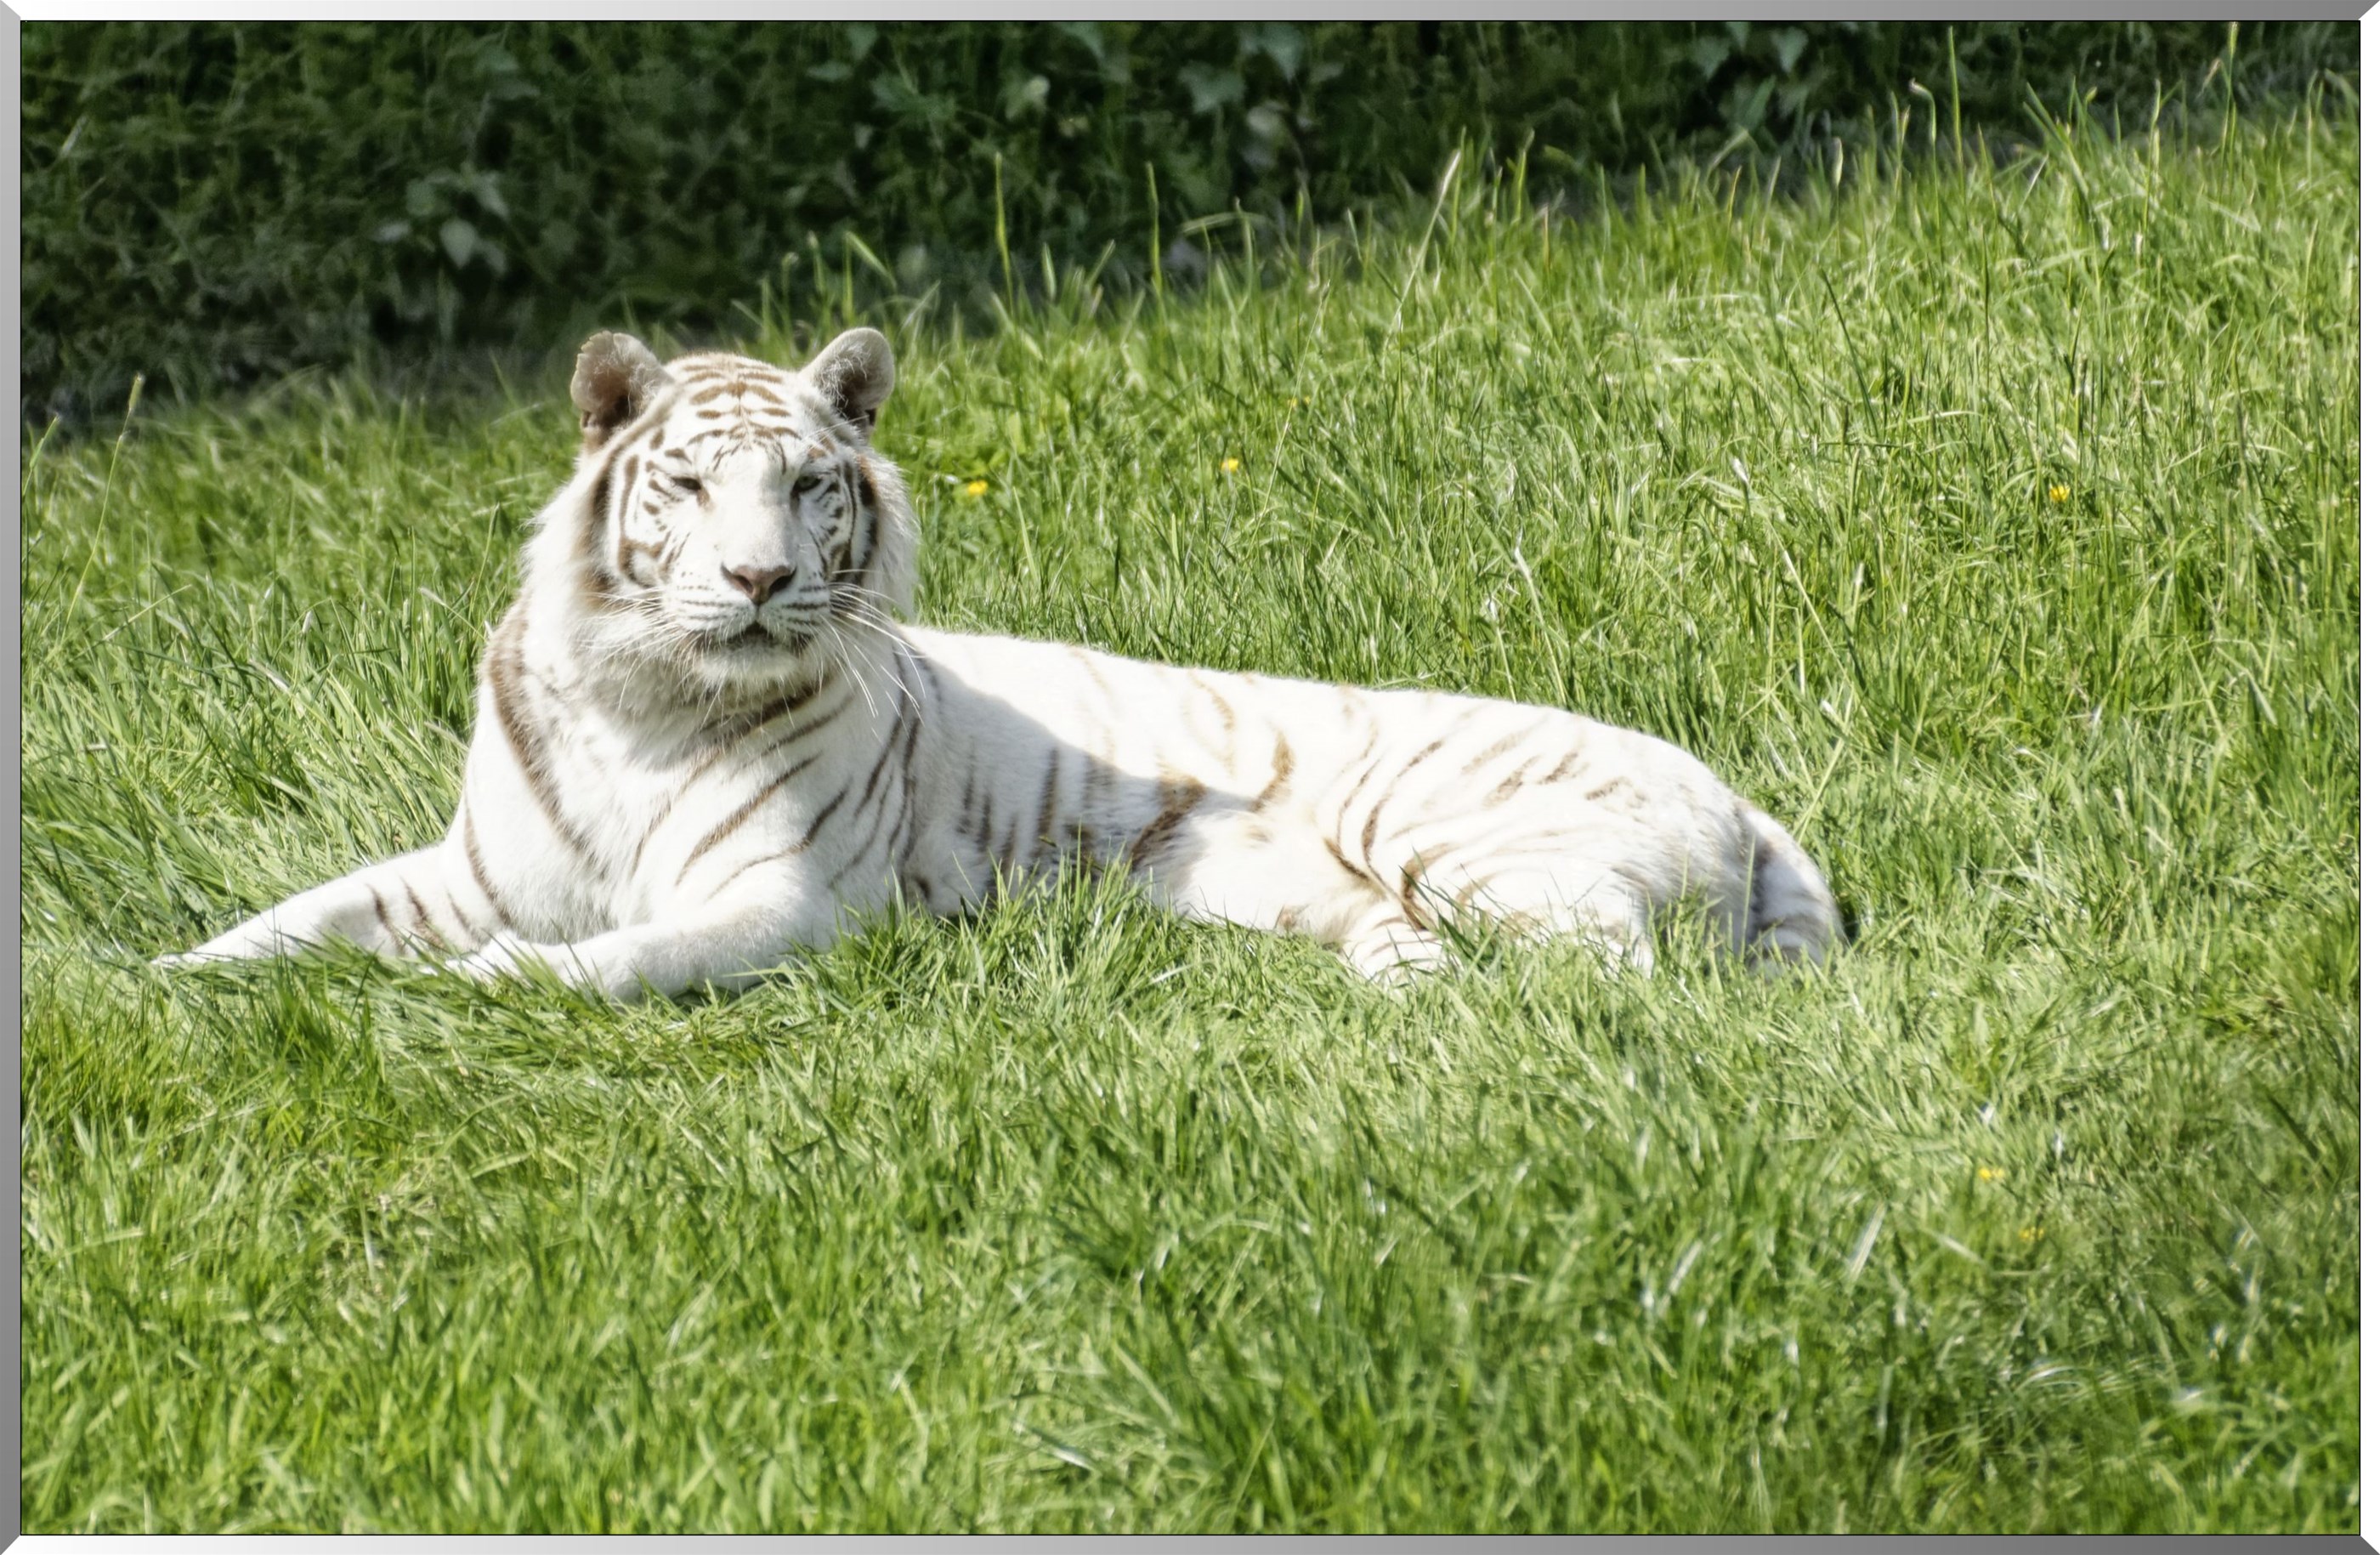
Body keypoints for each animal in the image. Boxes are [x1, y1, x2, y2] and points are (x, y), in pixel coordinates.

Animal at [157, 327, 1841, 999]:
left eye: (809, 486)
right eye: (690, 486)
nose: (761, 578)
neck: (650, 698)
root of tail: (1742, 793)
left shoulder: (782, 899)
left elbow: (615, 958)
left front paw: (486, 991)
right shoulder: (467, 867)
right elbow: (296, 918)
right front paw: (158, 986)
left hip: (1469, 842)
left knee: (1623, 989)